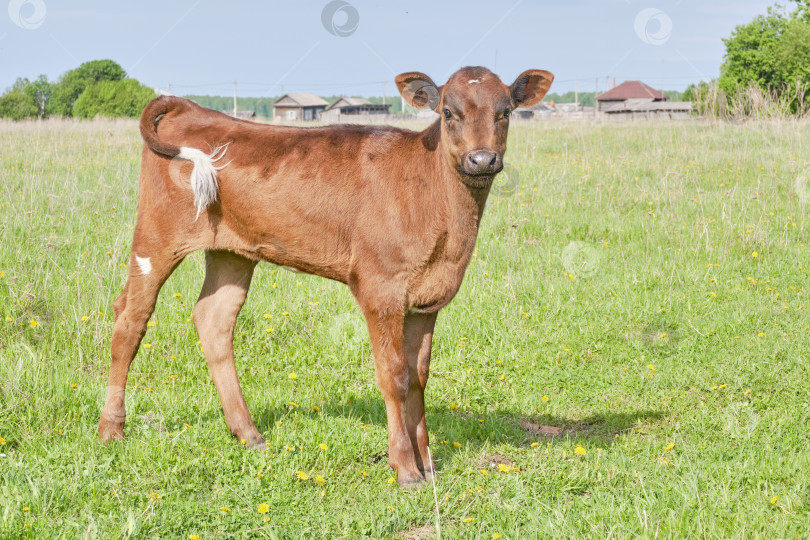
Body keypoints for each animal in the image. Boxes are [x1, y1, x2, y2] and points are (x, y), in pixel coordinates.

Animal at [94, 65, 548, 488]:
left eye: (506, 111)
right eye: (448, 112)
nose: (482, 159)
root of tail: (191, 108)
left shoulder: (427, 298)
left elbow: (419, 378)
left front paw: (429, 464)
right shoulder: (380, 288)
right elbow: (394, 376)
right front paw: (405, 468)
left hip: (232, 251)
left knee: (213, 320)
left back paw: (248, 433)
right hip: (155, 238)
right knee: (130, 321)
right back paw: (111, 429)